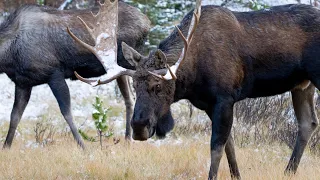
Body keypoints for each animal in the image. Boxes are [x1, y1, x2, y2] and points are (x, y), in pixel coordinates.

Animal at [0, 0, 151, 148]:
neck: (9, 55)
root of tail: (146, 22)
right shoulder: (23, 83)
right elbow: (15, 116)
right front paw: (6, 146)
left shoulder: (54, 74)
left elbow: (66, 112)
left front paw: (83, 146)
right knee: (129, 98)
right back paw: (128, 138)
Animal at [110, 1, 318, 180]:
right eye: (135, 85)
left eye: (158, 85)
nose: (138, 127)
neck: (192, 77)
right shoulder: (209, 104)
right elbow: (229, 145)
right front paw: (237, 176)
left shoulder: (225, 98)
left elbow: (216, 146)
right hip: (302, 85)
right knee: (308, 123)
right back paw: (288, 172)